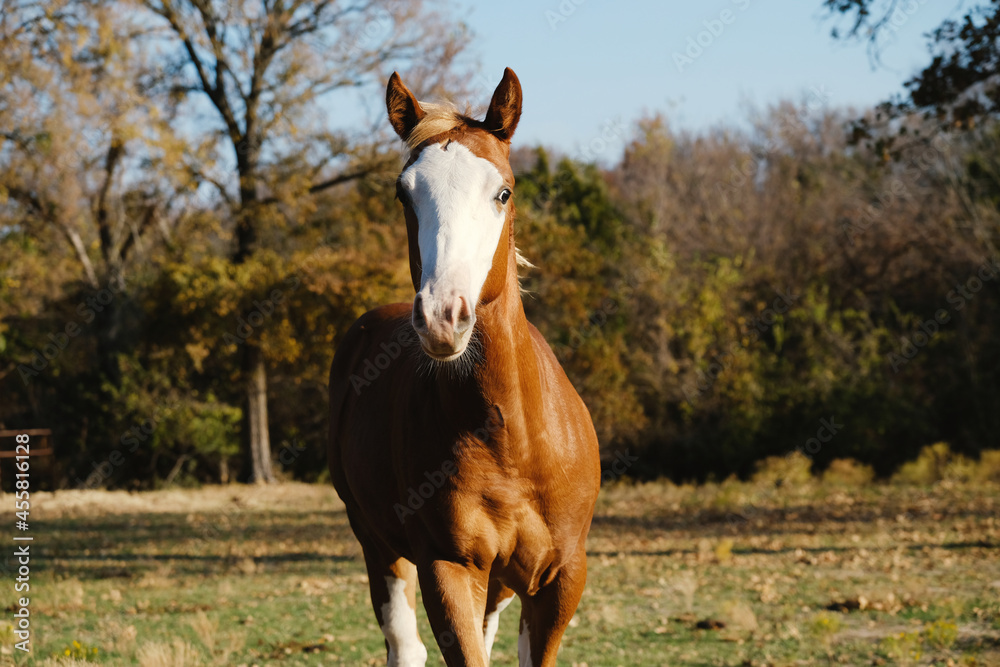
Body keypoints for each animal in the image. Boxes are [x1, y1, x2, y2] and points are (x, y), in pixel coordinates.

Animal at [328, 67, 600, 667]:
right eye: (404, 193)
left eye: (503, 192)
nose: (441, 316)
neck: (511, 438)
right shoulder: (446, 570)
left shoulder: (560, 579)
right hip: (377, 544)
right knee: (404, 644)